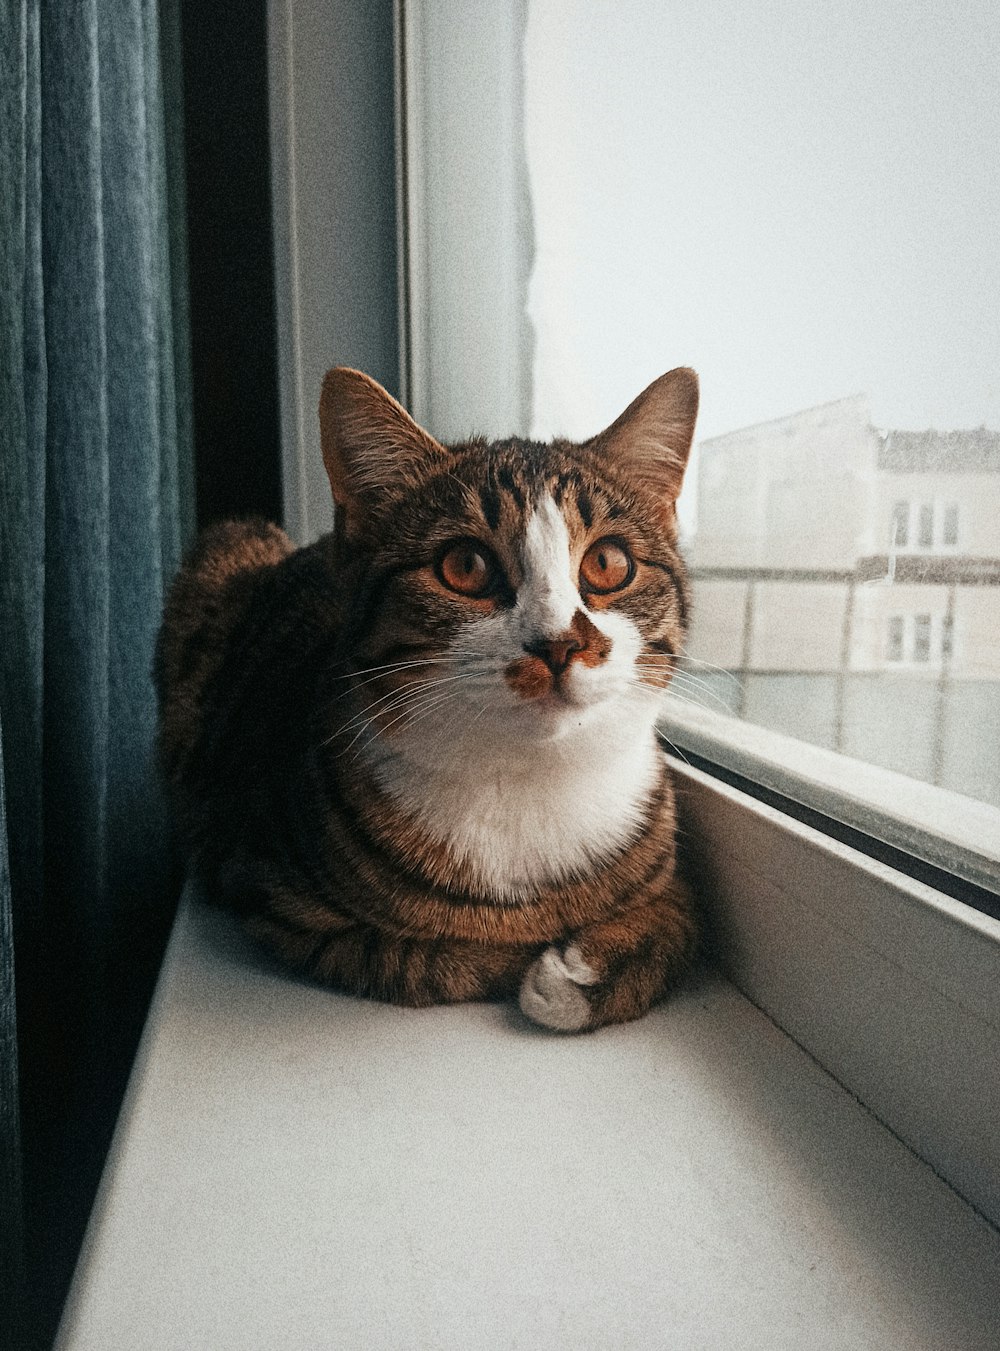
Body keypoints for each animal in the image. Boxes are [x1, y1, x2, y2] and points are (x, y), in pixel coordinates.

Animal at [158, 364, 702, 1026]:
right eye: (465, 565)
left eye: (608, 562)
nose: (558, 644)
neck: (528, 778)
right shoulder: (269, 892)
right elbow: (420, 959)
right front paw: (536, 962)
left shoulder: (669, 865)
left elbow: (682, 917)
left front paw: (586, 972)